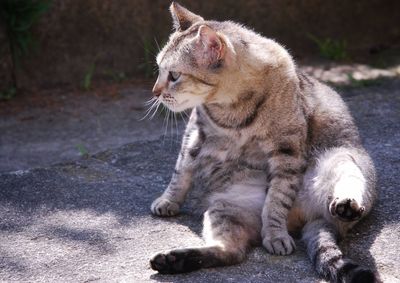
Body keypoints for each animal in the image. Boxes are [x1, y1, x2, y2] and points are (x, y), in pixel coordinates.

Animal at [148, 2, 376, 283]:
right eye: (159, 70)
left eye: (174, 75)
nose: (155, 92)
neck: (231, 109)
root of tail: (308, 221)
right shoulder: (195, 134)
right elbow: (180, 173)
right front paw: (167, 201)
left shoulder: (287, 151)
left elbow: (277, 199)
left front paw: (275, 234)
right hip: (225, 209)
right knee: (231, 252)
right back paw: (173, 260)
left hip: (341, 156)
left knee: (348, 184)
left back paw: (345, 206)